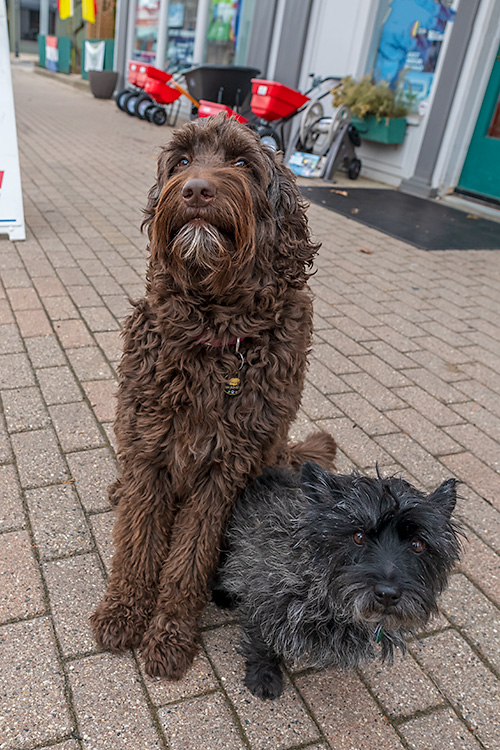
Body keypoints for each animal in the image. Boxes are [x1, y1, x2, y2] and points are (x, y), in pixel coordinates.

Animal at [92, 113, 338, 680]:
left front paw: (170, 633)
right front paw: (123, 611)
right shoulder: (150, 444)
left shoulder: (224, 470)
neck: (215, 334)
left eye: (243, 163)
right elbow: (138, 540)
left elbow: (190, 559)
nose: (197, 190)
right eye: (181, 161)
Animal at [217, 462, 462, 704]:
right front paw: (264, 675)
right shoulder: (264, 596)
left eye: (417, 544)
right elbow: (262, 640)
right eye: (358, 536)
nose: (387, 594)